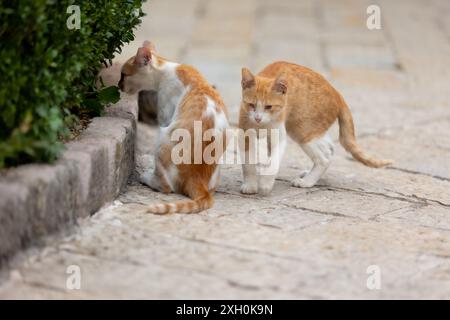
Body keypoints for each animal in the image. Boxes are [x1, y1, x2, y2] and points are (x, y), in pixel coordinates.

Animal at [119, 41, 229, 214]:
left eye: (123, 75)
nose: (118, 85)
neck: (167, 68)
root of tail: (197, 179)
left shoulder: (164, 116)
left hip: (162, 140)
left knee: (166, 187)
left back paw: (146, 177)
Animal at [239, 60, 390, 195]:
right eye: (251, 105)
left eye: (268, 107)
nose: (258, 117)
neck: (262, 125)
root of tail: (336, 92)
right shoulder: (245, 136)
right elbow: (248, 164)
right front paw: (251, 184)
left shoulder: (279, 137)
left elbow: (274, 161)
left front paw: (265, 183)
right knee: (329, 148)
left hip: (303, 131)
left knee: (324, 159)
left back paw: (307, 181)